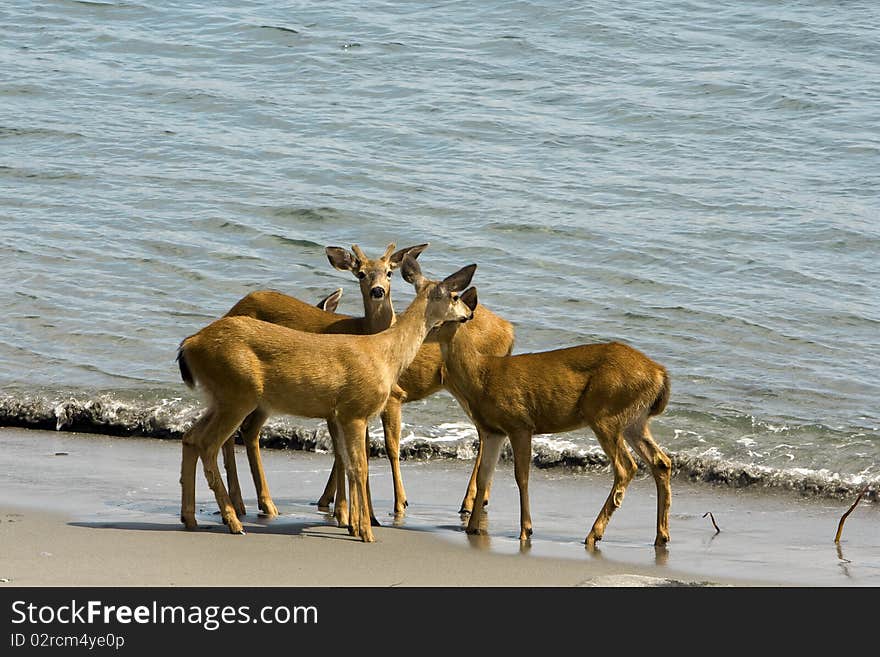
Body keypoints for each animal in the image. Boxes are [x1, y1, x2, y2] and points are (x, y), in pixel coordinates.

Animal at [176, 254, 478, 540]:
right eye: (454, 296)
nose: (469, 313)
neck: (385, 353)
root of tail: (189, 344)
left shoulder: (341, 413)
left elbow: (347, 462)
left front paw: (354, 525)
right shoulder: (355, 410)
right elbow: (359, 467)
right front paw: (365, 531)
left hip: (219, 397)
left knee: (190, 437)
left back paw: (191, 519)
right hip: (238, 394)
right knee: (209, 444)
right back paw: (234, 521)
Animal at [436, 288, 672, 548]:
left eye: (445, 316)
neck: (481, 376)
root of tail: (660, 374)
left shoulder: (519, 423)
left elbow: (521, 476)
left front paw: (525, 530)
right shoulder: (493, 430)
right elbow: (484, 477)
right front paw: (472, 528)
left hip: (605, 413)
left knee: (626, 467)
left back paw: (593, 534)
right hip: (635, 420)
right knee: (661, 462)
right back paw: (661, 536)